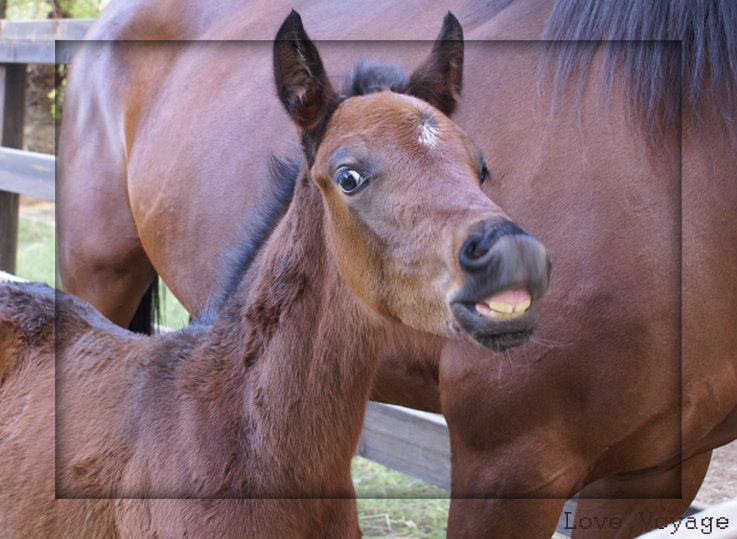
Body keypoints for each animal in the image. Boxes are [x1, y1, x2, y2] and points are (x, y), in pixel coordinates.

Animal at [59, 0, 736, 536]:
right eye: (349, 176)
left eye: (482, 166)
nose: (515, 260)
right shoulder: (510, 461)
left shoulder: (659, 472)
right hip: (97, 277)